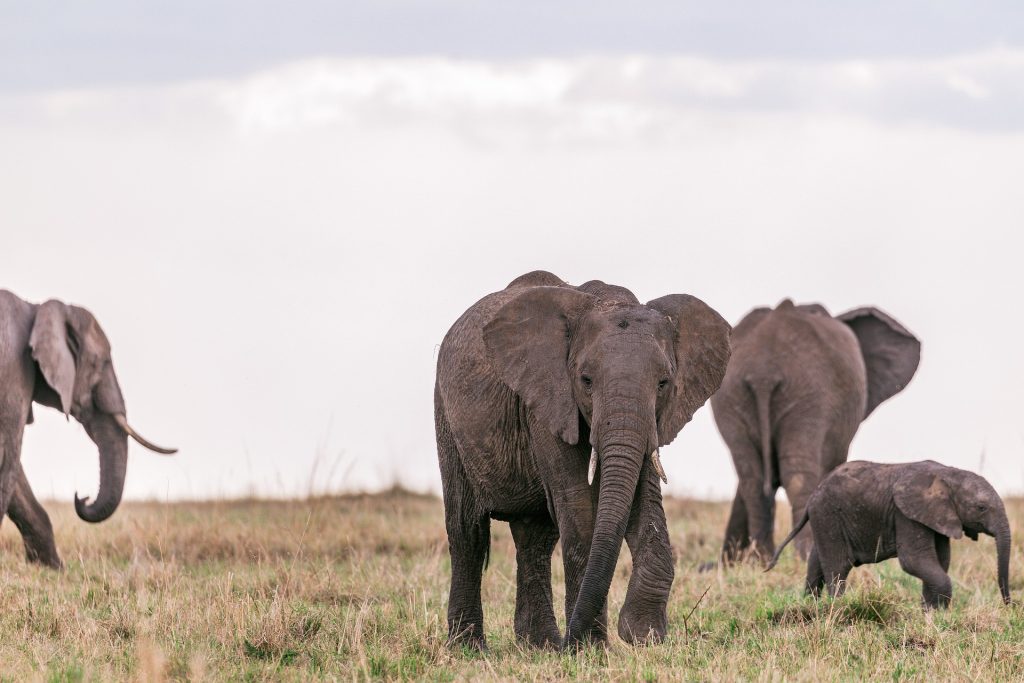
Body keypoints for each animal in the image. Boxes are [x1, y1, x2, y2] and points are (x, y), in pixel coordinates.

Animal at [0, 290, 176, 568]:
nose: (82, 497)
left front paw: (52, 569)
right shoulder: (13, 371)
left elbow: (15, 474)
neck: (36, 310)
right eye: (100, 363)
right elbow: (7, 459)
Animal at [434, 271, 730, 649]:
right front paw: (589, 648)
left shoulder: (651, 421)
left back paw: (539, 646)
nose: (569, 642)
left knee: (535, 538)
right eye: (586, 381)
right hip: (446, 415)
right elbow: (579, 508)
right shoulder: (548, 400)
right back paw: (470, 649)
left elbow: (644, 505)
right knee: (466, 532)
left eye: (664, 383)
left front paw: (643, 635)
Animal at [711, 299, 920, 563]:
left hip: (733, 395)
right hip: (810, 396)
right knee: (797, 474)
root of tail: (764, 372)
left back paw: (762, 558)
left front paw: (732, 562)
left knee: (751, 476)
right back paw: (805, 555)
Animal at [766, 460, 1011, 609]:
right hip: (828, 514)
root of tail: (812, 497)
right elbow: (914, 561)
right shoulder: (906, 515)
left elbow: (941, 560)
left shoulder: (937, 517)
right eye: (981, 507)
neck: (948, 473)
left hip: (824, 519)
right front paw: (935, 611)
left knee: (816, 561)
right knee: (838, 565)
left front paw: (930, 612)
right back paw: (837, 608)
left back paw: (810, 605)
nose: (1009, 606)